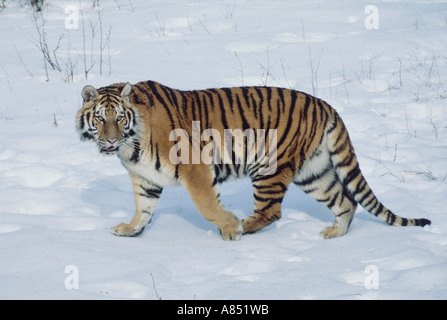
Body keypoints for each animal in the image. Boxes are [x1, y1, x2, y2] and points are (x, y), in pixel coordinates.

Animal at [75, 80, 432, 240]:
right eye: (101, 118)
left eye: (120, 118)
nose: (110, 140)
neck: (131, 146)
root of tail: (326, 105)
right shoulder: (145, 178)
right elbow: (144, 207)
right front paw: (130, 230)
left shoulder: (195, 168)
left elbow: (207, 205)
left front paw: (229, 225)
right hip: (314, 172)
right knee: (346, 200)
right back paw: (333, 234)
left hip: (270, 169)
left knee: (272, 211)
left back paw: (244, 225)